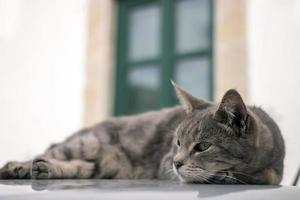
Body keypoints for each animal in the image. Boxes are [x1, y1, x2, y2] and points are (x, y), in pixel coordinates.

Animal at [0, 82, 286, 184]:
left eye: (202, 146)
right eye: (177, 142)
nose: (176, 162)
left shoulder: (274, 169)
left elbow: (267, 176)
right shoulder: (165, 164)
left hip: (103, 164)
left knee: (79, 167)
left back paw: (44, 169)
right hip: (85, 144)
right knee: (48, 152)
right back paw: (18, 167)